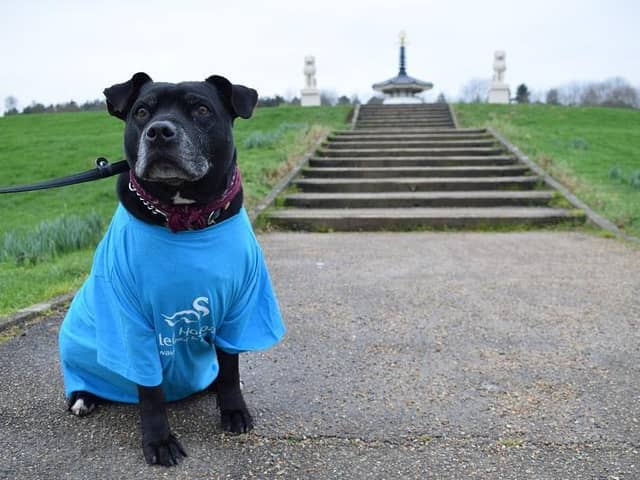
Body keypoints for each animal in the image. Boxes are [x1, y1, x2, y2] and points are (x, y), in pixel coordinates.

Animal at [59, 73, 284, 466]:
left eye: (202, 109)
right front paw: (159, 440)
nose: (159, 131)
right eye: (141, 112)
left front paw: (234, 410)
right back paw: (84, 397)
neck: (184, 215)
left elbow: (230, 367)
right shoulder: (131, 321)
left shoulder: (238, 308)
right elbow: (150, 392)